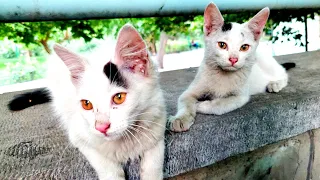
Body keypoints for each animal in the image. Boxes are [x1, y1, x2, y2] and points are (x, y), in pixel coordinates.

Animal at [47, 24, 168, 180]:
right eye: (86, 104)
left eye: (119, 97)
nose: (101, 127)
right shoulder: (79, 135)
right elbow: (107, 167)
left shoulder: (158, 124)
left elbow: (154, 163)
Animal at [170, 2, 296, 132]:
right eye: (222, 45)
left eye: (244, 47)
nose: (233, 59)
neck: (223, 75)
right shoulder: (191, 90)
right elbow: (184, 100)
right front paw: (180, 119)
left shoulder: (240, 96)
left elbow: (221, 105)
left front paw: (201, 105)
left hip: (266, 61)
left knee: (283, 73)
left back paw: (274, 84)